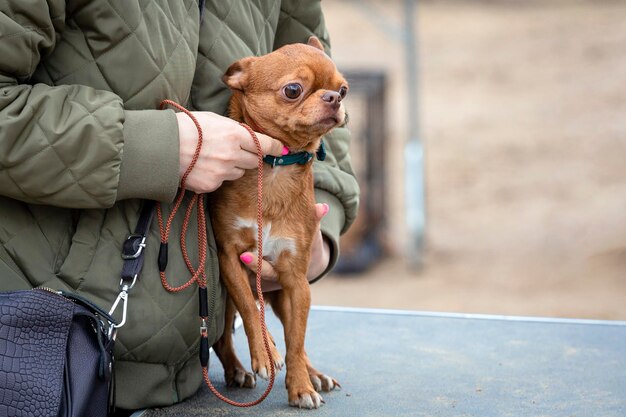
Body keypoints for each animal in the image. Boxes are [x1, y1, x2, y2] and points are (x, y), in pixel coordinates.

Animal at [208, 37, 346, 408]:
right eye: (293, 90)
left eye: (344, 88)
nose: (334, 98)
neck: (275, 168)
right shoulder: (231, 260)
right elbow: (250, 309)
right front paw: (264, 352)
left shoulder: (296, 282)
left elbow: (296, 341)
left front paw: (300, 386)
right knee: (223, 334)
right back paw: (240, 368)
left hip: (283, 295)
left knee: (295, 337)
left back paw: (314, 375)